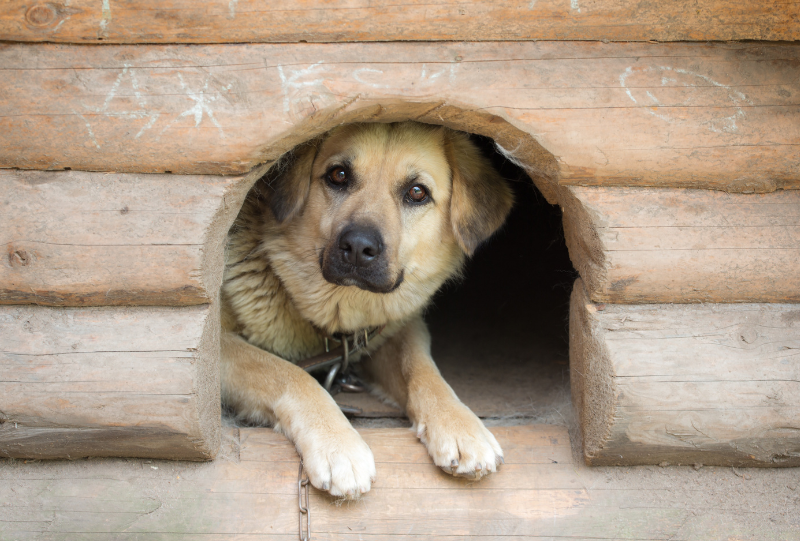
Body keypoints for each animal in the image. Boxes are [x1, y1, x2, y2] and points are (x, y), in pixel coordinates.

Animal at [222, 120, 516, 496]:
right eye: (338, 175)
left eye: (417, 192)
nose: (359, 248)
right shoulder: (217, 346)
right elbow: (290, 374)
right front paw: (338, 444)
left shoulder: (398, 331)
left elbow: (422, 369)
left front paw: (461, 426)